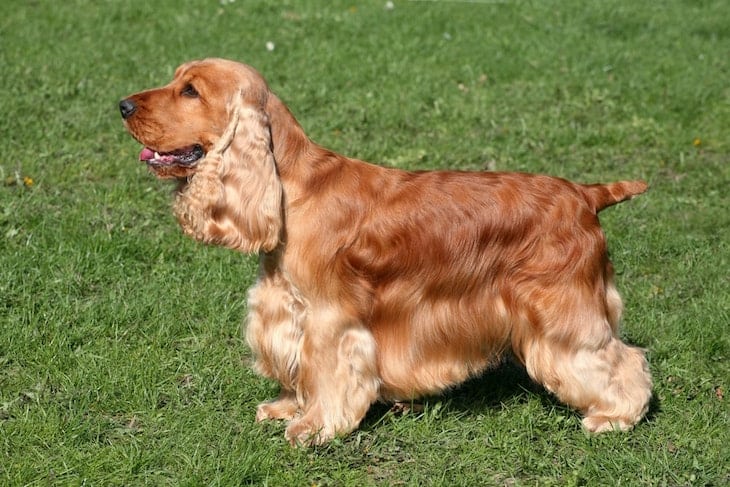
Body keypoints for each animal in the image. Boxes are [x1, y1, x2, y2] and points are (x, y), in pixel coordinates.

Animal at [121, 57, 656, 446]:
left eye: (190, 90)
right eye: (175, 80)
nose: (123, 105)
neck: (291, 188)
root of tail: (585, 194)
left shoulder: (331, 318)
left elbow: (329, 373)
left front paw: (314, 426)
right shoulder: (287, 308)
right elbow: (297, 368)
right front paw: (287, 406)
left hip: (564, 310)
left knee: (621, 359)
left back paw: (615, 416)